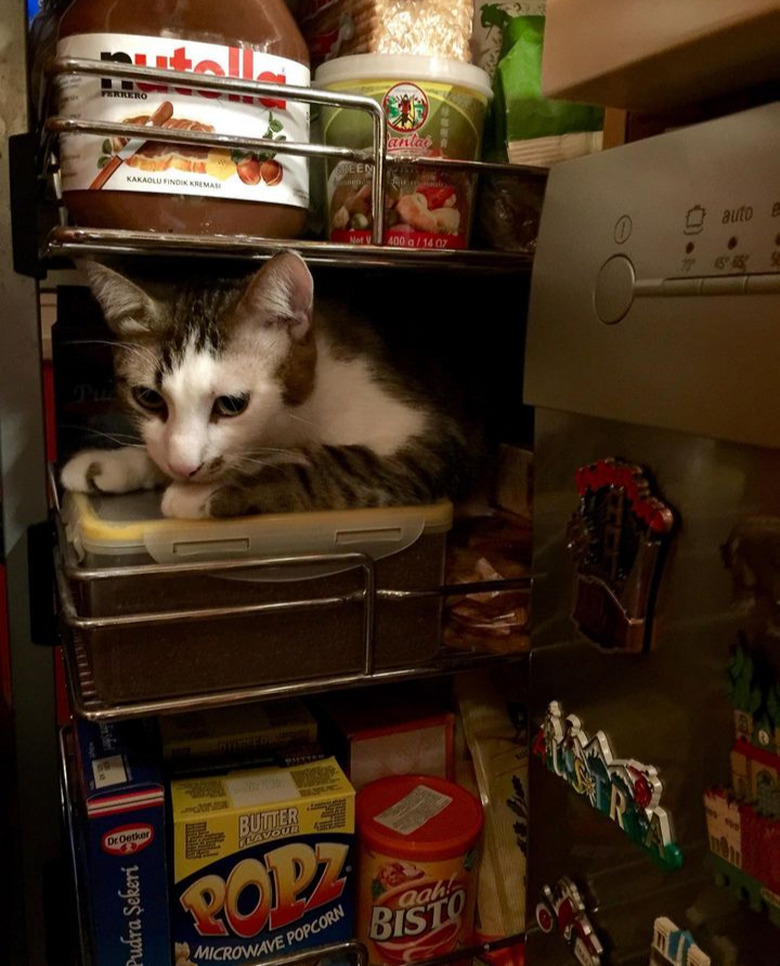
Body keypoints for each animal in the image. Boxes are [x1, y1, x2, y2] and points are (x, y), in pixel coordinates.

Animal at [59, 253, 476, 520]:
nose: (184, 468)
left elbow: (335, 462)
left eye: (231, 404)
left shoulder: (432, 439)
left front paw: (205, 491)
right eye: (148, 398)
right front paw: (119, 462)